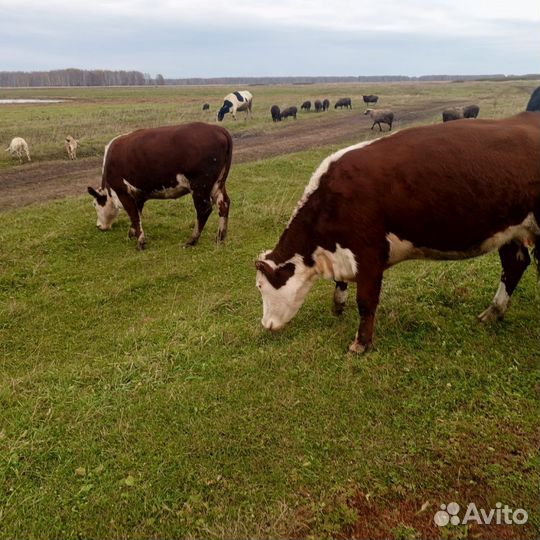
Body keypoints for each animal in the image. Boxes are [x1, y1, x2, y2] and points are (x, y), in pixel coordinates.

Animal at [86, 121, 232, 250]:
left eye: (95, 204)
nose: (98, 226)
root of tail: (218, 129)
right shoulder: (138, 195)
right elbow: (137, 215)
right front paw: (132, 233)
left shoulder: (123, 192)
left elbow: (134, 215)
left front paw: (140, 242)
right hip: (217, 184)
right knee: (224, 203)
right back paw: (220, 237)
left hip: (200, 186)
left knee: (204, 210)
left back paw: (192, 240)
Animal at [254, 112, 540, 352]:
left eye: (260, 286)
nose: (265, 324)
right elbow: (341, 285)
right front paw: (338, 305)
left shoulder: (369, 252)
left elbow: (366, 301)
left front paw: (361, 344)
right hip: (511, 229)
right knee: (514, 265)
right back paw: (493, 312)